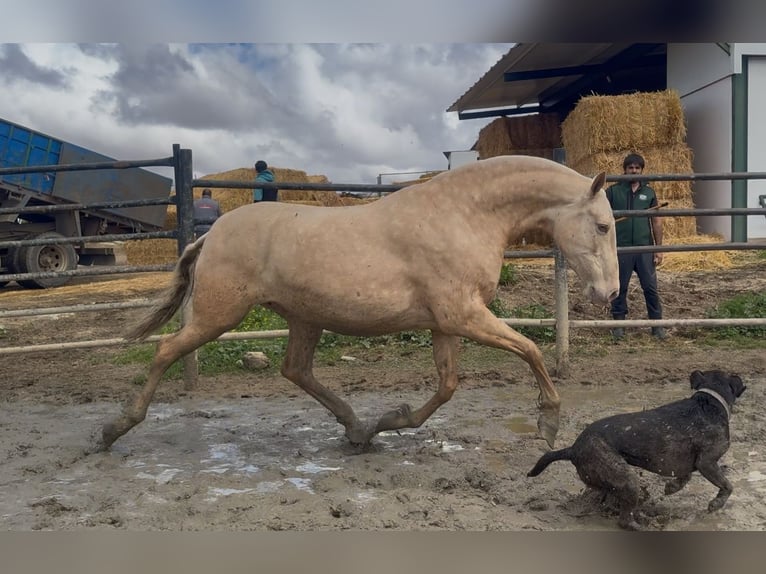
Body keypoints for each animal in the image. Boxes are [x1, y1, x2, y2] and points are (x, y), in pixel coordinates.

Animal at [99, 155, 620, 452]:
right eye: (602, 226)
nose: (610, 294)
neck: (465, 215)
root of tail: (209, 235)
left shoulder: (445, 324)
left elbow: (447, 386)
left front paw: (388, 423)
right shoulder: (464, 316)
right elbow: (530, 350)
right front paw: (549, 424)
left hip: (304, 319)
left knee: (295, 370)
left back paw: (355, 428)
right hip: (219, 315)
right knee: (166, 350)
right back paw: (115, 428)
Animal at [532, 372, 748, 532]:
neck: (708, 401)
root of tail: (572, 449)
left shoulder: (688, 463)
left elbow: (684, 476)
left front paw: (672, 487)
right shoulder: (707, 462)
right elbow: (728, 486)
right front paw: (716, 503)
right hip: (628, 480)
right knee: (624, 521)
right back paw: (642, 526)